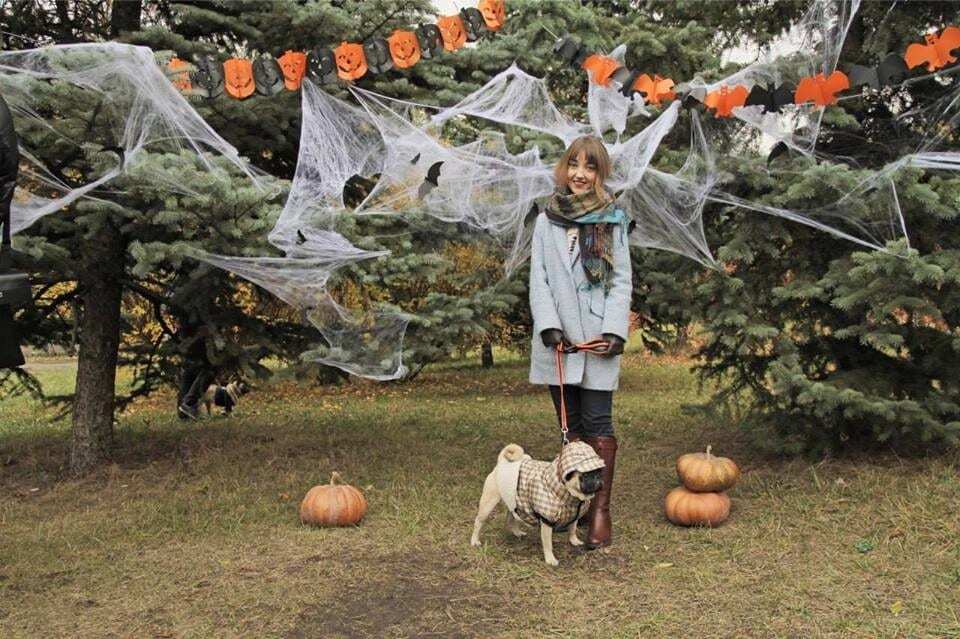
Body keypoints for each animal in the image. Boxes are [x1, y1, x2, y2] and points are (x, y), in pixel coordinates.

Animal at [470, 442, 604, 568]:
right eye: (585, 476)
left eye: (599, 472)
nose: (597, 478)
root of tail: (501, 463)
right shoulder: (547, 521)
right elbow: (548, 544)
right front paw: (550, 559)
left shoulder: (575, 515)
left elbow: (573, 528)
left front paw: (574, 540)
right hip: (488, 503)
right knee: (478, 522)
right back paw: (475, 540)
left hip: (515, 501)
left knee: (511, 517)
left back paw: (517, 532)